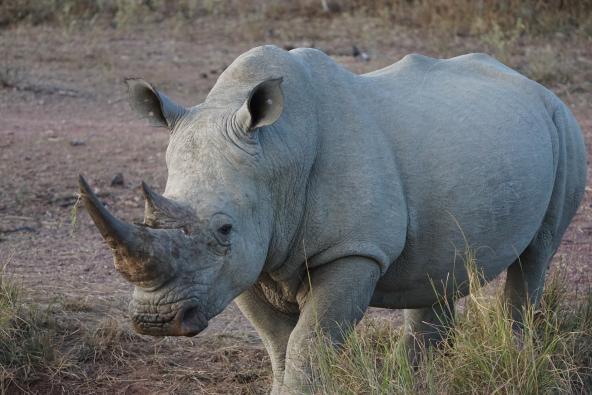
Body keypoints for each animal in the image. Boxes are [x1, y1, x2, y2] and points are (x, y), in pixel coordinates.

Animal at [80, 45, 588, 392]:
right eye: (151, 214)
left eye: (224, 229)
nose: (157, 320)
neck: (278, 154)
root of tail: (532, 83)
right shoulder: (244, 262)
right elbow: (278, 343)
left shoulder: (350, 251)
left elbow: (310, 341)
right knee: (439, 270)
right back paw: (409, 381)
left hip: (563, 125)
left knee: (537, 254)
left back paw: (517, 356)